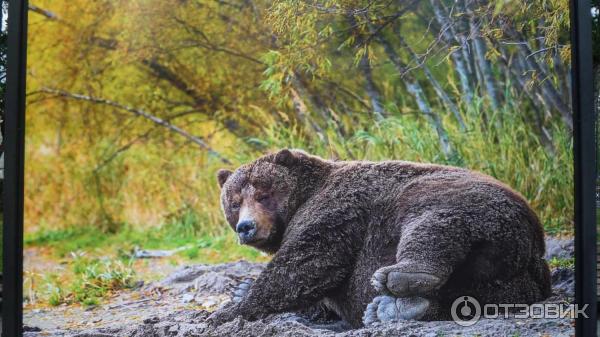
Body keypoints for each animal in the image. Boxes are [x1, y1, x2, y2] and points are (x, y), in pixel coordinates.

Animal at [209, 148, 552, 326]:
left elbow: (308, 263)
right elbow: (317, 299)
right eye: (235, 202)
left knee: (433, 222)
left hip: (455, 198)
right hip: (514, 279)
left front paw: (227, 311)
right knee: (479, 295)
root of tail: (533, 237)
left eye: (263, 194)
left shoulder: (337, 209)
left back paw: (398, 279)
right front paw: (238, 290)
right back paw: (393, 308)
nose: (246, 227)